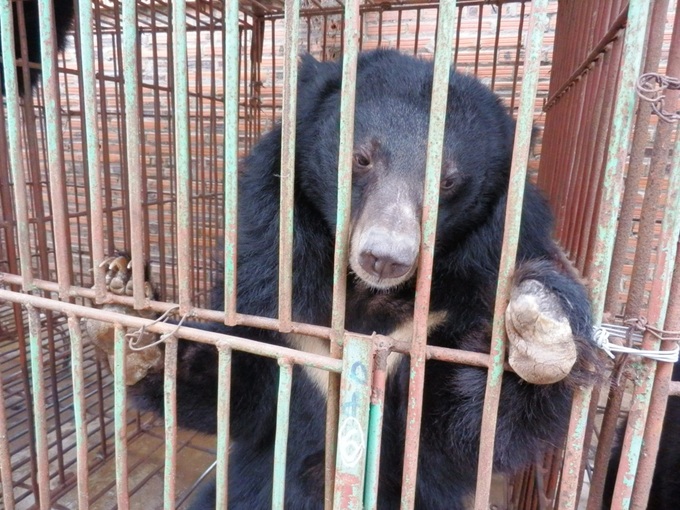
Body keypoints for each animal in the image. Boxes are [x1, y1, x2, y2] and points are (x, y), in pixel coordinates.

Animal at [86, 49, 601, 509]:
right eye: (361, 159)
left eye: (449, 183)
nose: (385, 257)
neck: (367, 294)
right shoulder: (270, 288)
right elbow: (238, 386)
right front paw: (128, 317)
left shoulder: (452, 306)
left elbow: (462, 434)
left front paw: (540, 325)